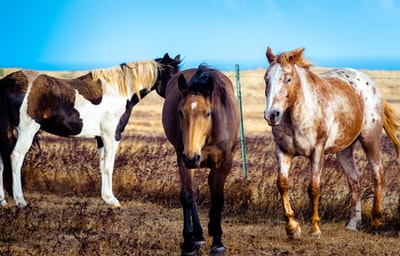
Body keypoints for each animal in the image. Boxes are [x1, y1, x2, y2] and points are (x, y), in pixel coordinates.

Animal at [0, 53, 181, 208]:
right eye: (172, 72)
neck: (119, 91)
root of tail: (6, 83)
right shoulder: (111, 136)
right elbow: (109, 166)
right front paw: (112, 200)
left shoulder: (100, 138)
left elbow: (102, 165)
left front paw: (106, 198)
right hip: (27, 131)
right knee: (16, 157)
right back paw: (21, 201)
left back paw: (3, 201)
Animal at [161, 65, 239, 255]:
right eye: (180, 112)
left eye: (207, 113)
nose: (191, 156)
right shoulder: (184, 160)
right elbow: (188, 195)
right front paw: (189, 243)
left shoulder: (224, 163)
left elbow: (217, 198)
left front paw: (217, 242)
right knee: (194, 192)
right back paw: (199, 236)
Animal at [262, 47, 400, 239]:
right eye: (266, 78)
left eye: (288, 78)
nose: (272, 115)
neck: (296, 115)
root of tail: (370, 84)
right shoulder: (283, 151)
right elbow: (282, 185)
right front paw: (292, 228)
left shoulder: (317, 151)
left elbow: (313, 189)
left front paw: (315, 229)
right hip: (344, 150)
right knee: (354, 179)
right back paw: (353, 223)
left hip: (370, 139)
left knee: (378, 173)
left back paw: (377, 221)